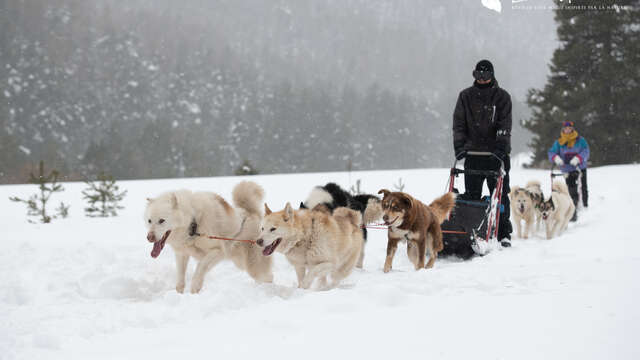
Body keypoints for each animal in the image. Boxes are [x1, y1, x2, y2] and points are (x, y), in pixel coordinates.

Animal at [144, 181, 274, 294]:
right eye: (149, 221)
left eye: (161, 220)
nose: (149, 237)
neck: (193, 223)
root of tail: (253, 213)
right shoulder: (182, 254)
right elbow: (180, 278)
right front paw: (179, 293)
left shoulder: (218, 251)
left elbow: (200, 267)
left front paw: (195, 287)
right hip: (241, 262)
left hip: (253, 266)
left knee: (267, 277)